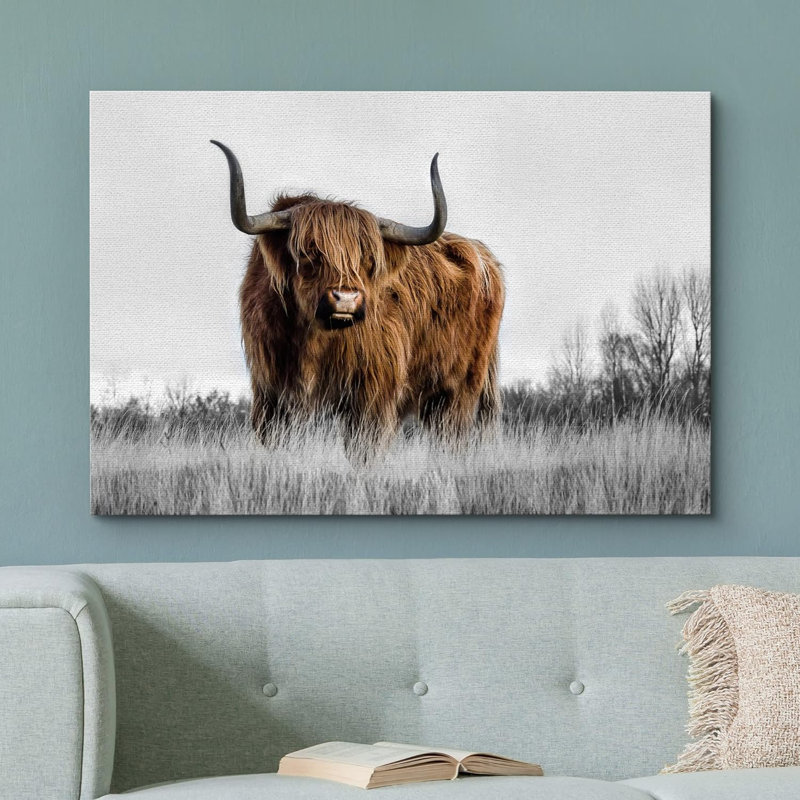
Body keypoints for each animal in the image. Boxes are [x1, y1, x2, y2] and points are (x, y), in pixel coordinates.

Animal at [212, 141, 505, 459]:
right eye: (309, 252)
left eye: (368, 259)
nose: (346, 298)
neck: (313, 340)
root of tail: (483, 255)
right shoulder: (271, 393)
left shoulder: (372, 393)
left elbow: (364, 449)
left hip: (459, 389)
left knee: (452, 437)